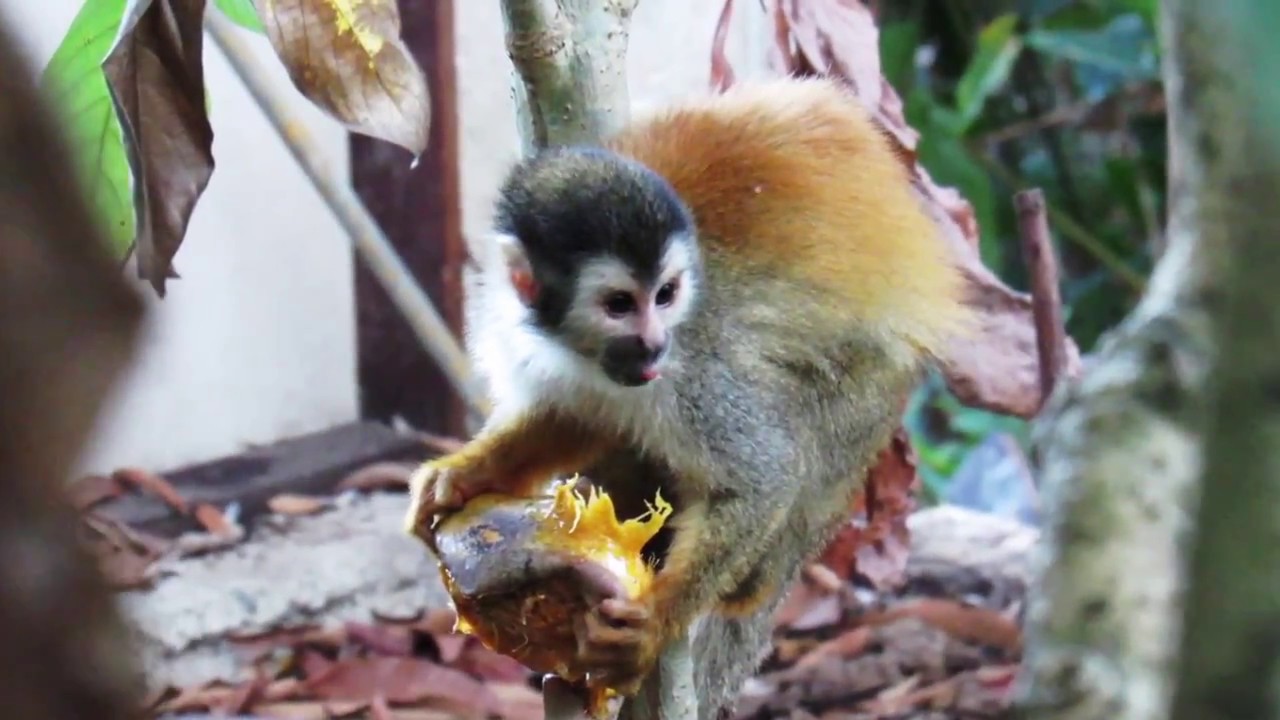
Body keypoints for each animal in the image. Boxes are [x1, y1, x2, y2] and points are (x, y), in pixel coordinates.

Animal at [406, 77, 973, 720]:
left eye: (668, 294)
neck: (569, 346)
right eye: (620, 304)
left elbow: (764, 475)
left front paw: (655, 624)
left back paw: (750, 586)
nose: (653, 342)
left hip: (869, 391)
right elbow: (576, 416)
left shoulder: (693, 368)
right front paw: (465, 476)